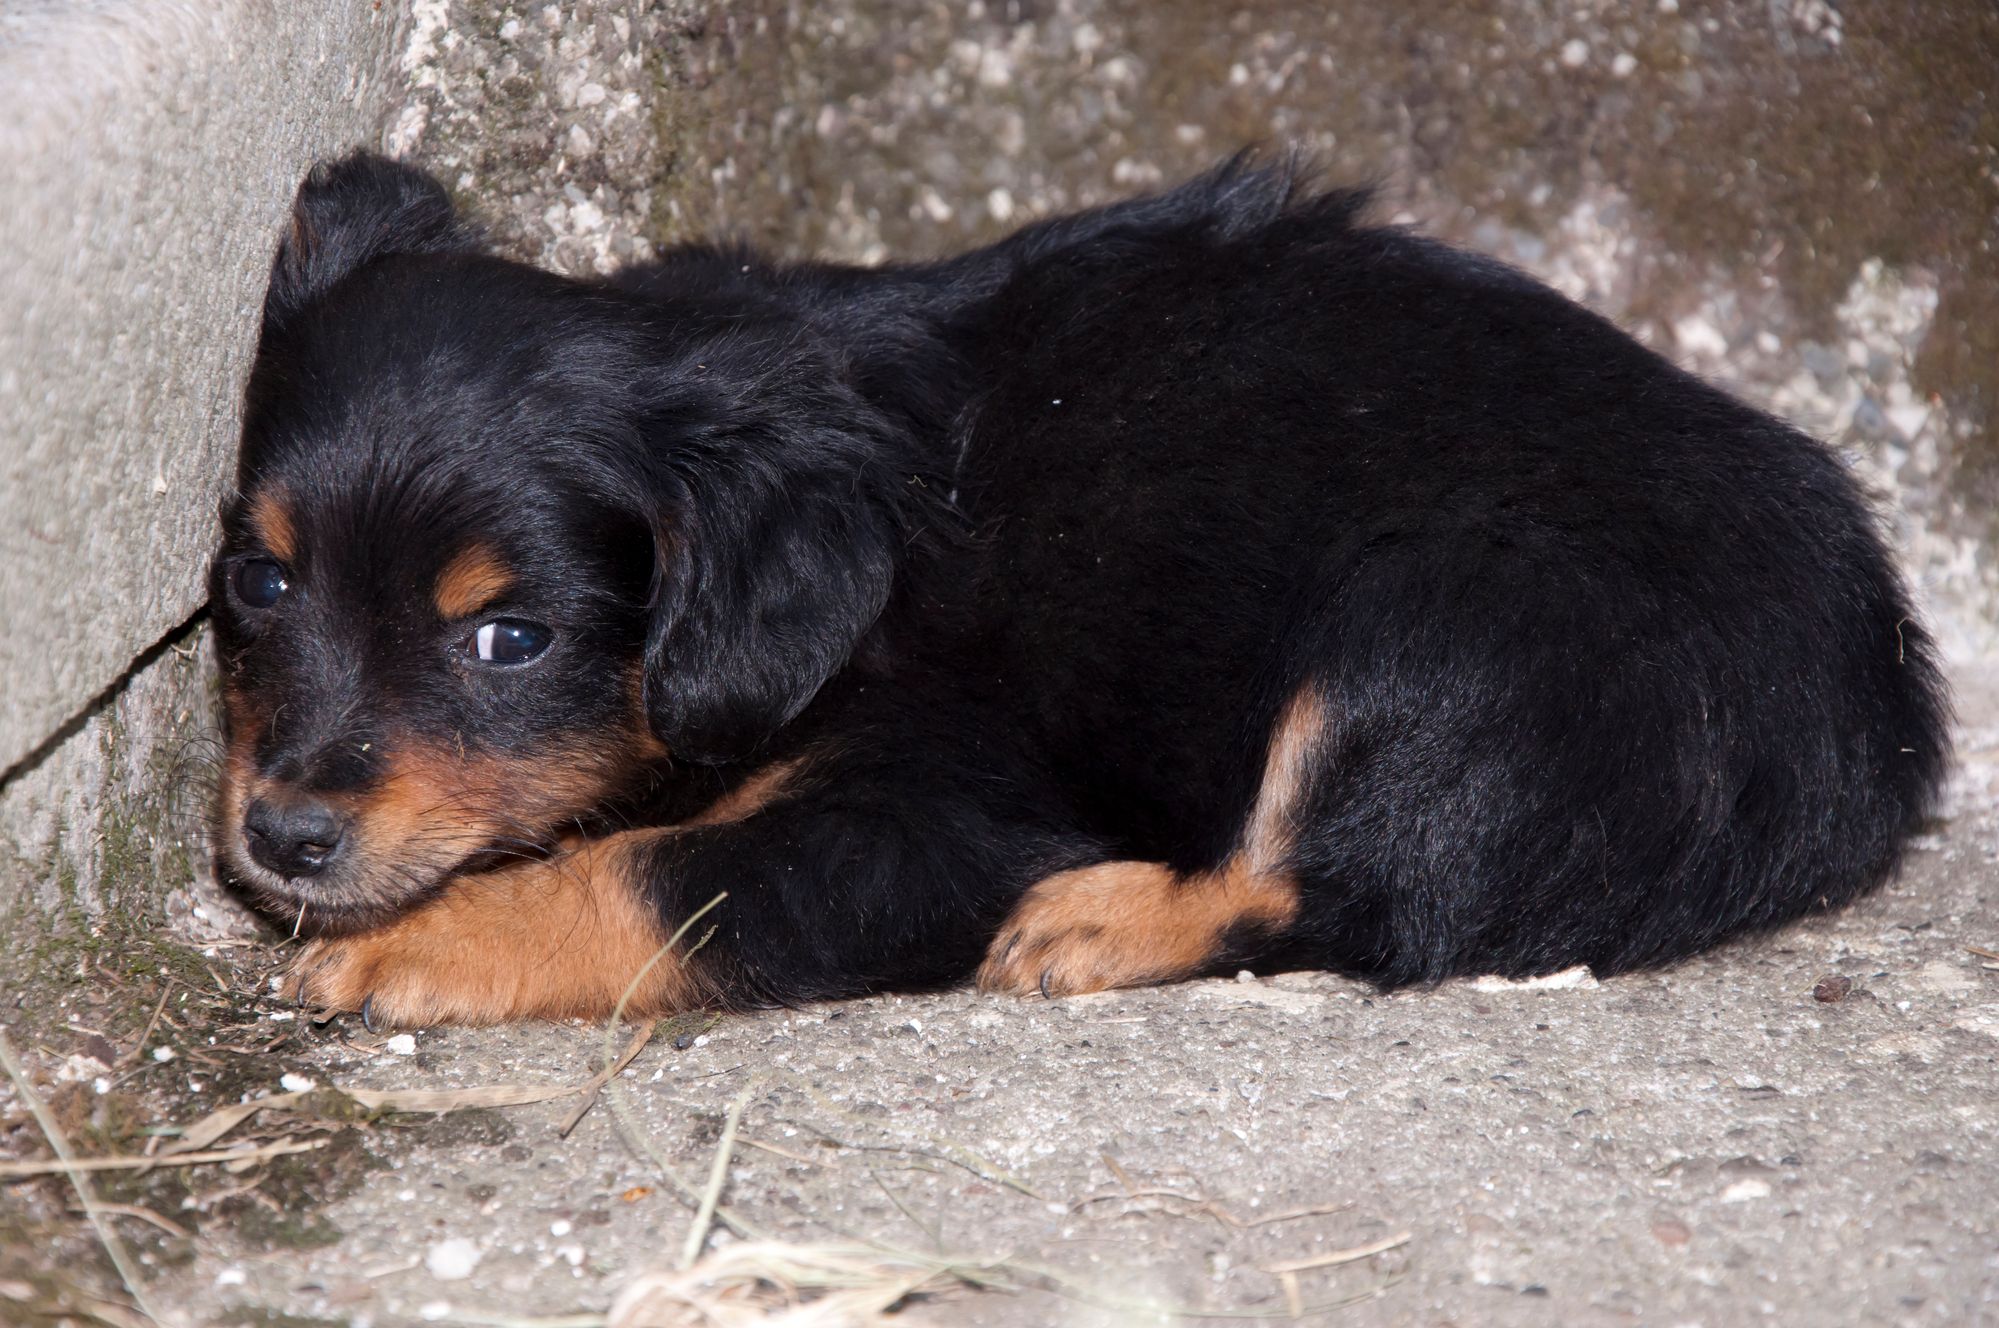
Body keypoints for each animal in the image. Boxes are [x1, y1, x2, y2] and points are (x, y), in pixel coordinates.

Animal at [210, 153, 1943, 1024]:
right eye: (256, 583)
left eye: (508, 638)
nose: (280, 839)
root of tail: (1878, 725)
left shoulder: (948, 813)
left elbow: (652, 873)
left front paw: (415, 943)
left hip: (1437, 629)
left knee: (1347, 891)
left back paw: (1101, 921)